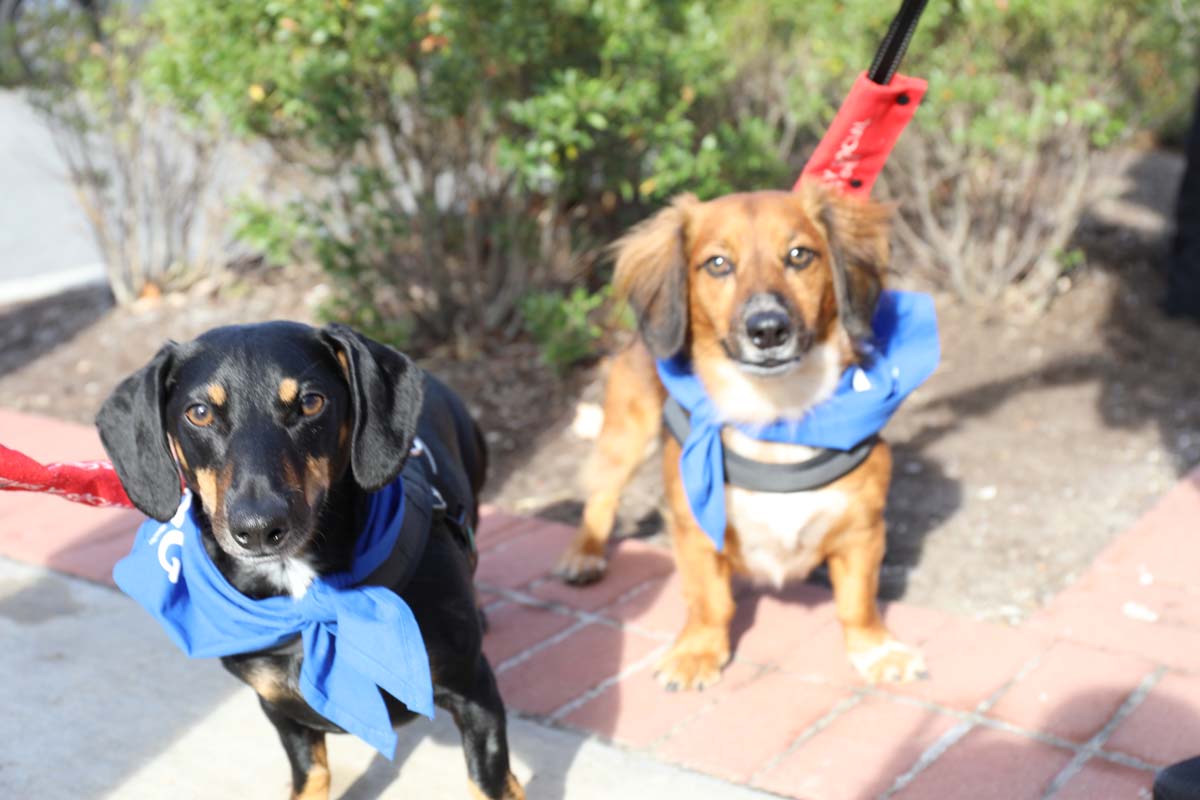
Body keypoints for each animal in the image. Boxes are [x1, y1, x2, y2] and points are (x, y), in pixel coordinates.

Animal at [97, 321, 523, 800]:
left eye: (311, 402)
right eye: (199, 412)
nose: (259, 528)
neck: (309, 593)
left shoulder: (474, 693)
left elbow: (489, 781)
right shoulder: (282, 711)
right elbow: (312, 776)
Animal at [555, 183, 928, 691]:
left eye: (799, 255)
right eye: (717, 264)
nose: (768, 329)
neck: (775, 414)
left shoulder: (861, 530)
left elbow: (857, 603)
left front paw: (875, 649)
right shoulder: (695, 527)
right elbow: (709, 600)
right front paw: (697, 651)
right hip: (627, 436)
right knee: (602, 494)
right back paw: (585, 553)